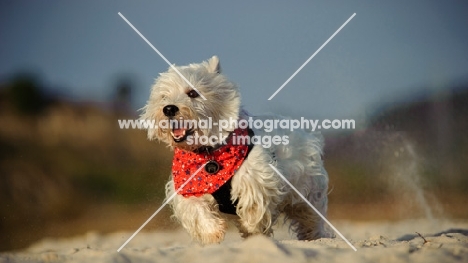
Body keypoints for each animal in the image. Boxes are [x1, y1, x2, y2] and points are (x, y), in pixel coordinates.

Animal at [140, 56, 332, 245]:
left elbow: (253, 208)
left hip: (308, 192)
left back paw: (317, 237)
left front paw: (252, 232)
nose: (169, 109)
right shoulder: (188, 185)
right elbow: (196, 209)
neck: (209, 153)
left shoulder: (256, 179)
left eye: (192, 93)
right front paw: (212, 232)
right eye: (163, 96)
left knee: (311, 218)